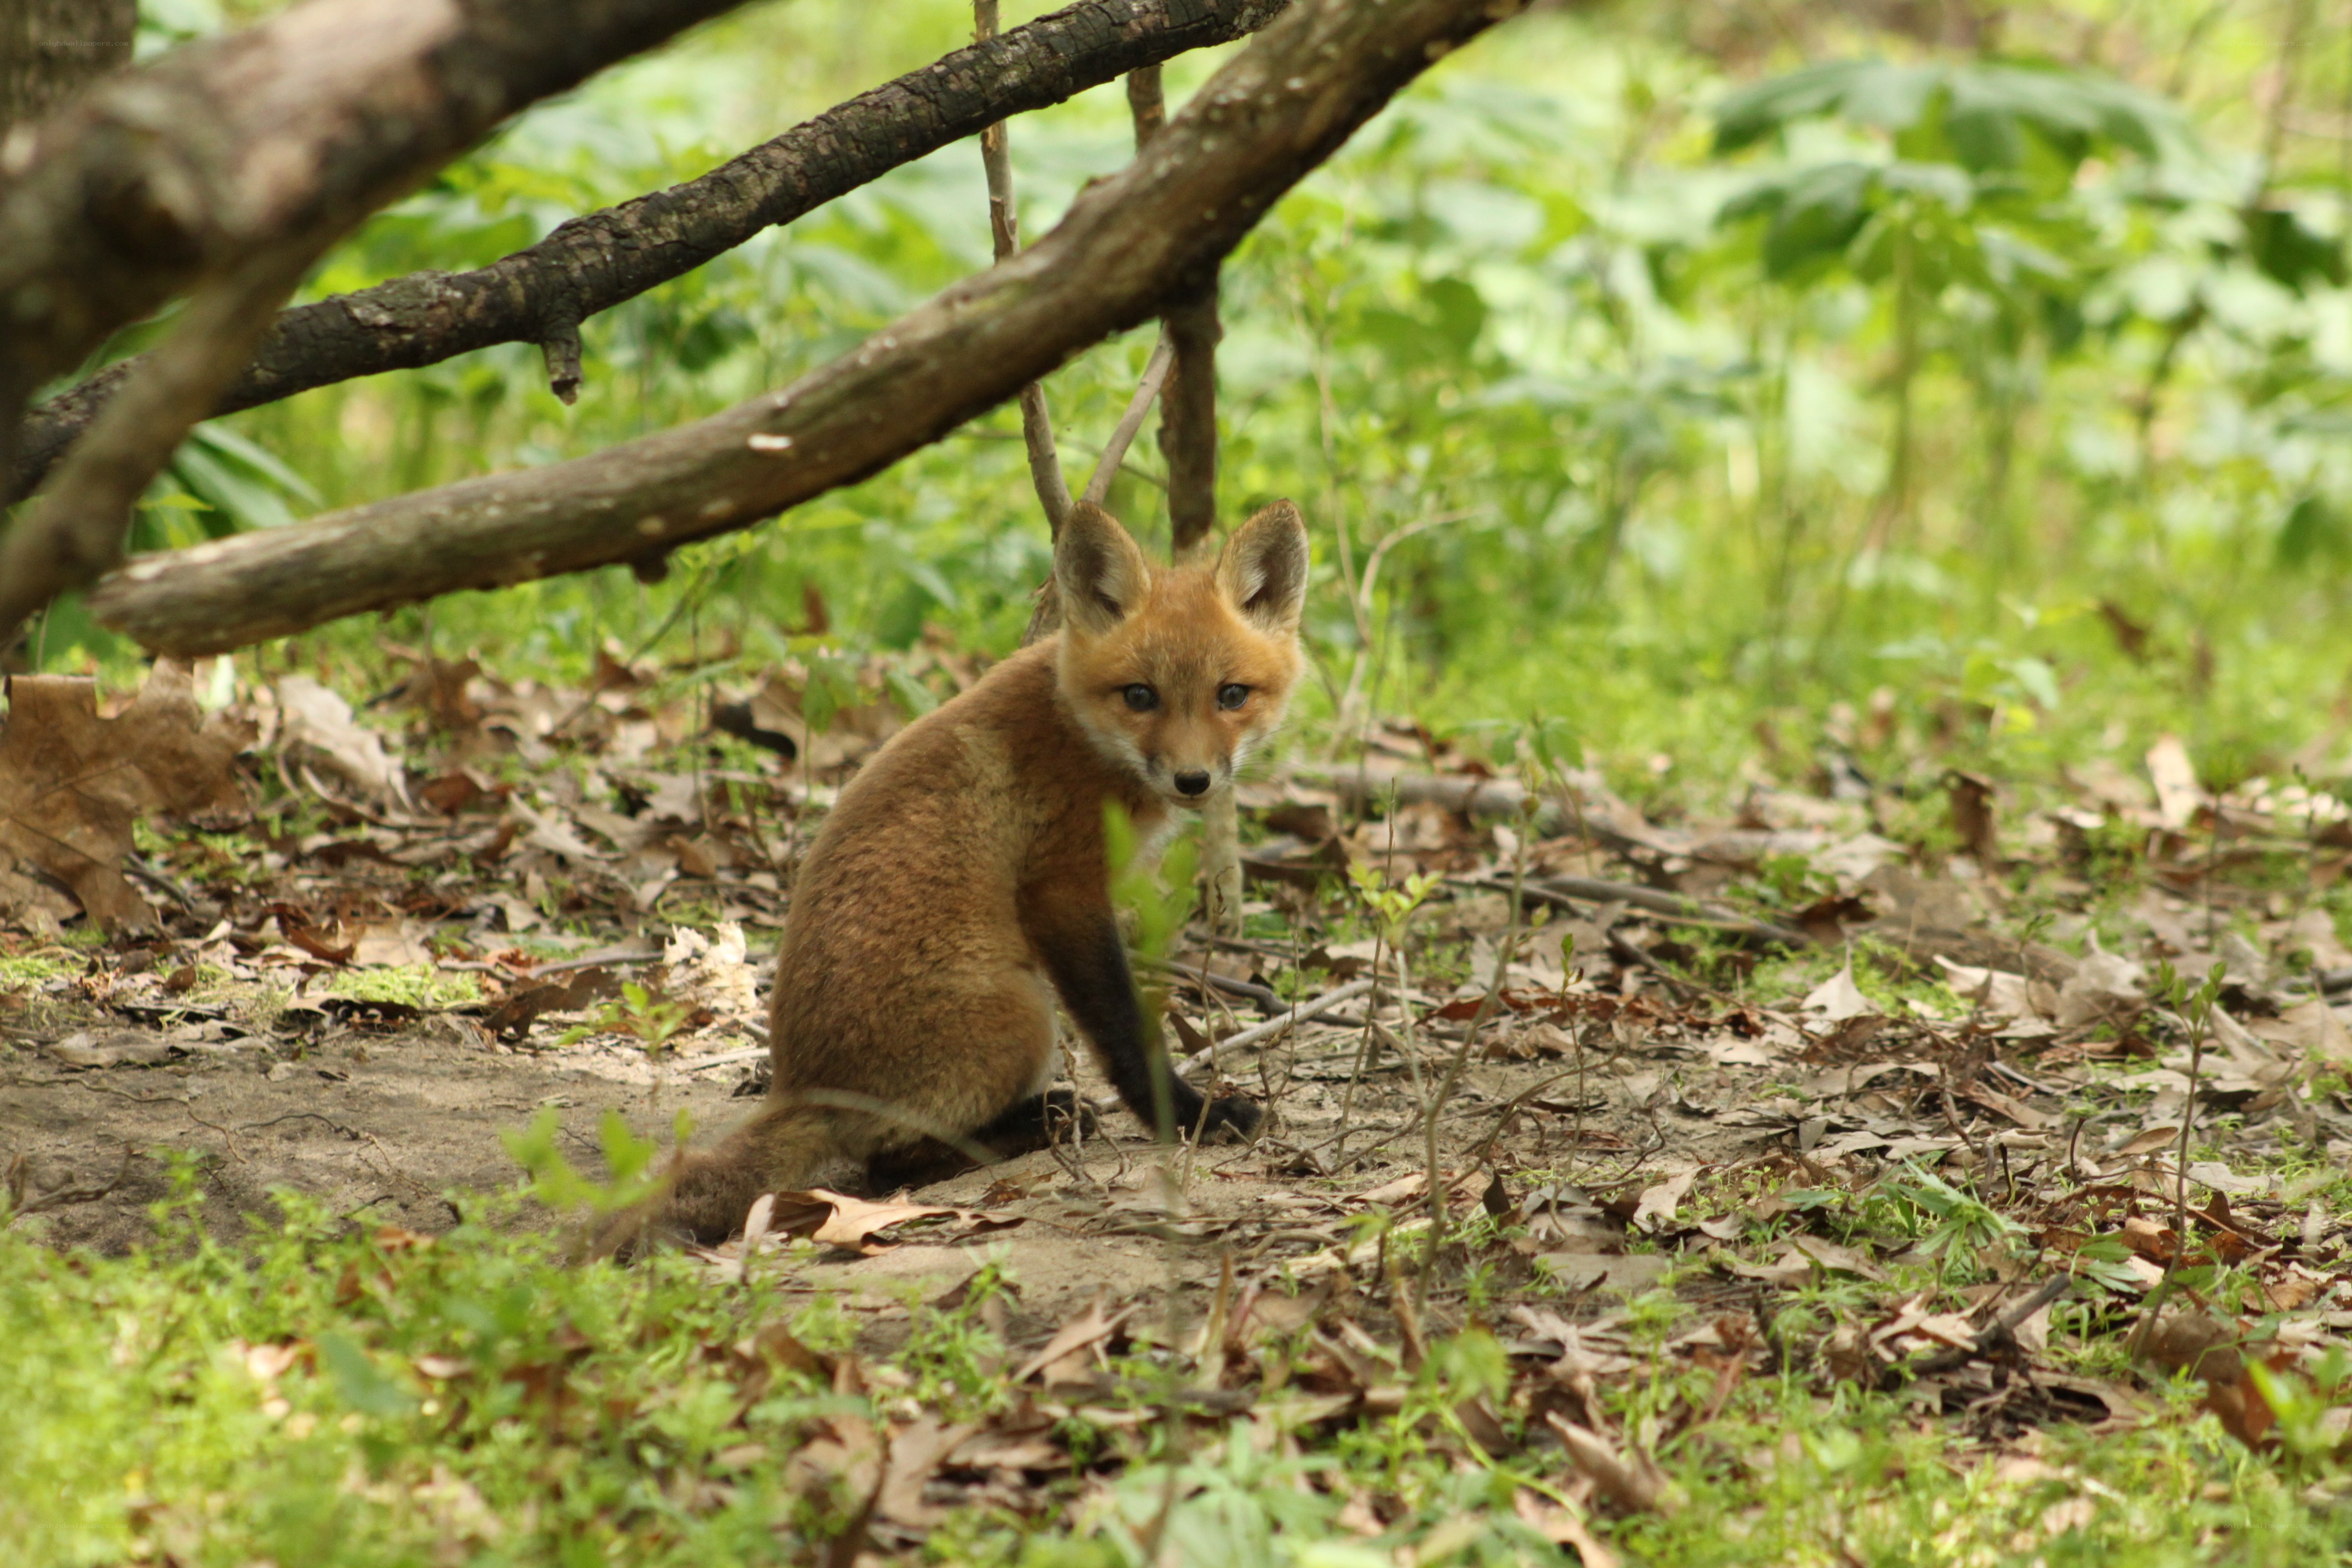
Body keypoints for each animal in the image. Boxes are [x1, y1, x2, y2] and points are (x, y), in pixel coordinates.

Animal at [631, 499, 1310, 1247]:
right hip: (1022, 1013)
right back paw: (1037, 1124)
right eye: (1140, 696)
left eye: (1231, 695)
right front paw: (1186, 1115)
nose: (1194, 781)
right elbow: (1126, 1030)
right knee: (889, 1161)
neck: (1080, 732)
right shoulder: (1062, 891)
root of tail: (801, 1088)